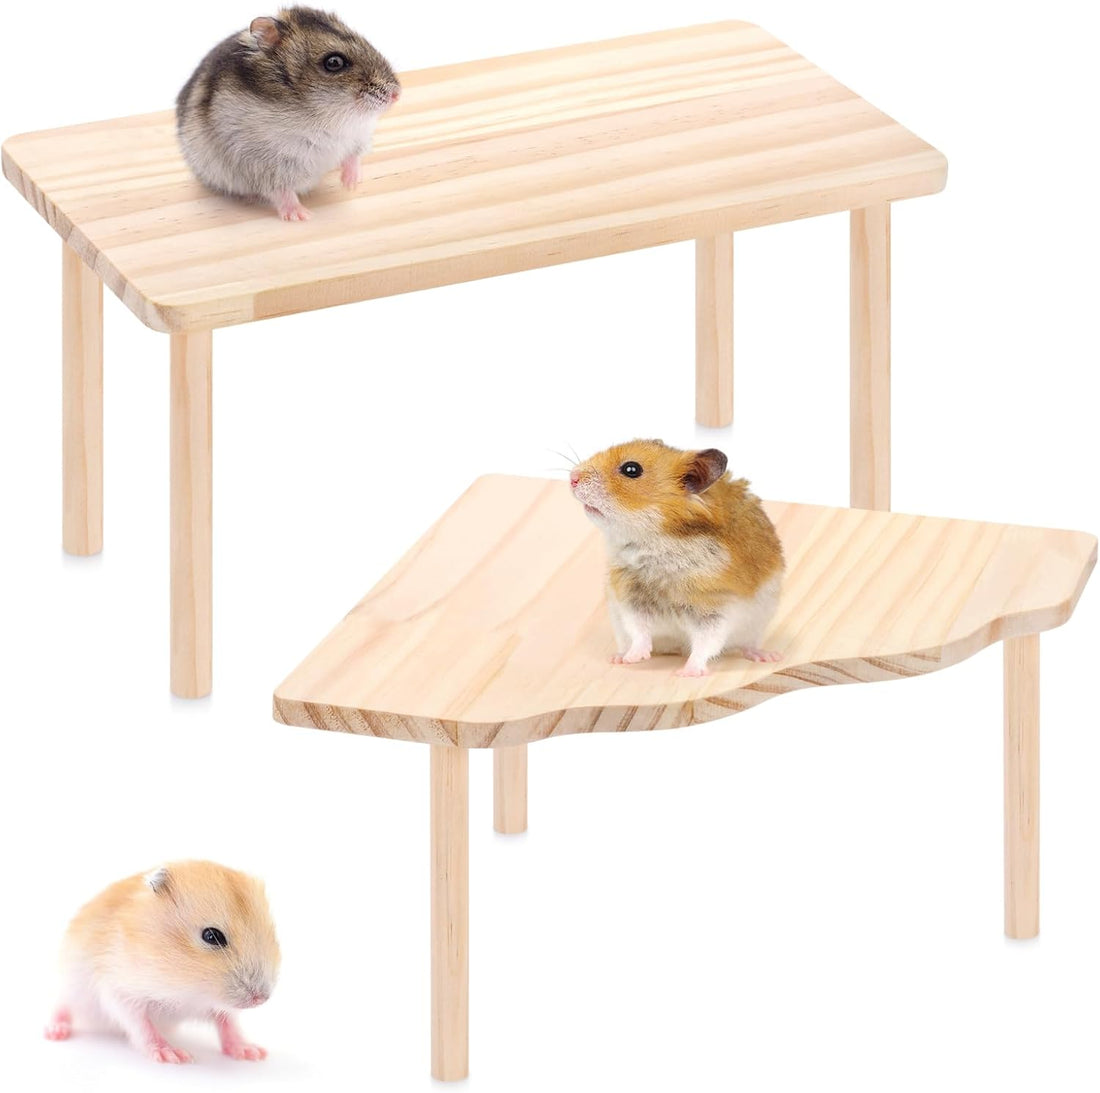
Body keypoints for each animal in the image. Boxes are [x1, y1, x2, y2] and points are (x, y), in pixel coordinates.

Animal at [44, 861, 280, 1064]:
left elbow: (228, 1024)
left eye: (271, 932)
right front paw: (173, 1055)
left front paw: (252, 1053)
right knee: (61, 1007)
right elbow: (142, 1025)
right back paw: (54, 1032)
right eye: (211, 936)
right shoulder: (119, 991)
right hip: (72, 987)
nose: (261, 999)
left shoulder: (216, 1007)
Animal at [176, 6, 401, 221]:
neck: (325, 117)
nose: (397, 94)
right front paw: (302, 216)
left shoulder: (358, 135)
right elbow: (282, 191)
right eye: (334, 62)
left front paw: (351, 185)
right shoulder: (261, 164)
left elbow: (352, 157)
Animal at [570, 440, 785, 677]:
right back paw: (618, 657)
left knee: (748, 645)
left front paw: (686, 673)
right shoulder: (630, 599)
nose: (572, 478)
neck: (656, 545)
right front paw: (633, 658)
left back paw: (769, 657)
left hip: (756, 625)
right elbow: (638, 631)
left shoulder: (715, 608)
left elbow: (706, 643)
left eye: (631, 469)